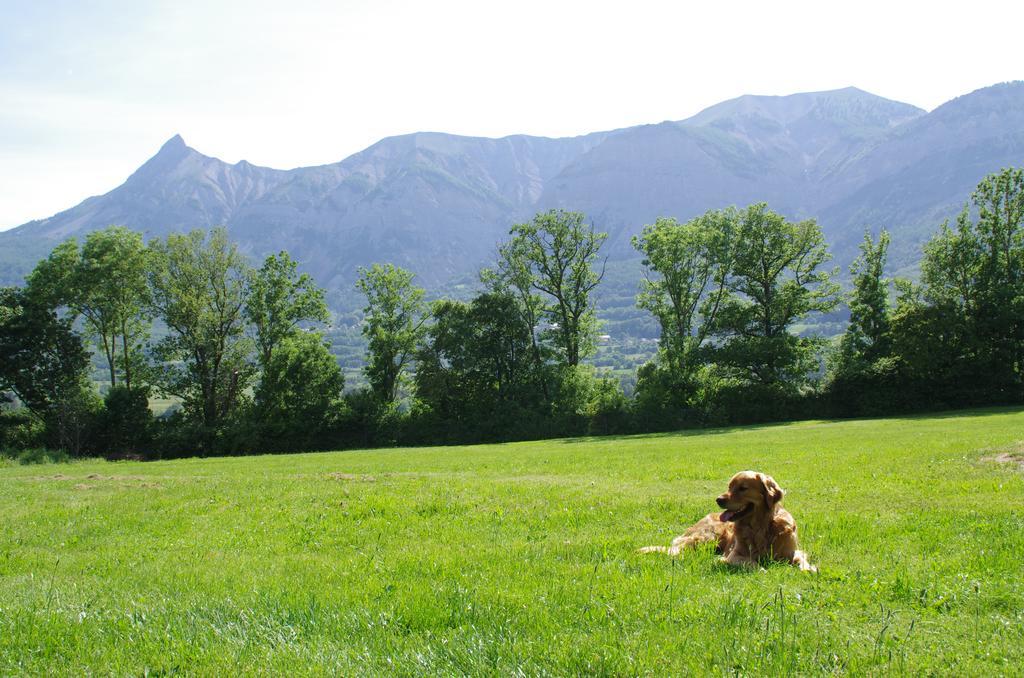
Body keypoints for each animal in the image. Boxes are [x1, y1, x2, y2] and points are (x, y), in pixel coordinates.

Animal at [638, 473, 815, 573]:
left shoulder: (792, 552)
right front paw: (761, 569)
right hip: (708, 537)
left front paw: (809, 569)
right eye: (729, 486)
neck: (760, 526)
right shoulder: (734, 555)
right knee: (676, 550)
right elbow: (749, 562)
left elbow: (801, 559)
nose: (718, 499)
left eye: (743, 488)